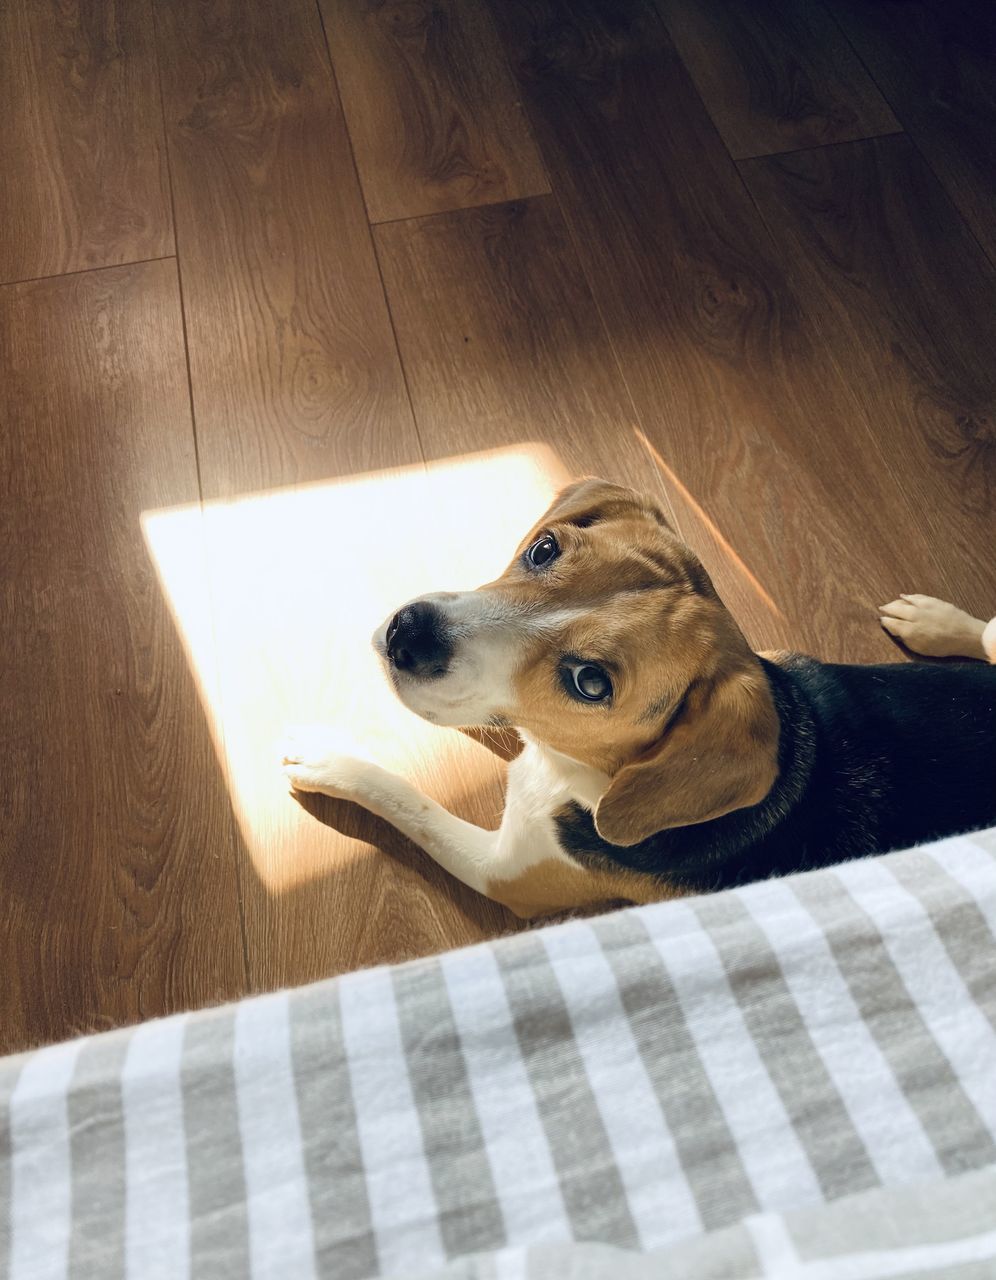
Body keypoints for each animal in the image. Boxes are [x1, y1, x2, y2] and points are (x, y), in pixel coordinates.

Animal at [279, 476, 993, 916]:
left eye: (590, 683)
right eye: (543, 549)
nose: (408, 633)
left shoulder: (505, 871)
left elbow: (414, 804)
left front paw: (330, 762)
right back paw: (934, 620)